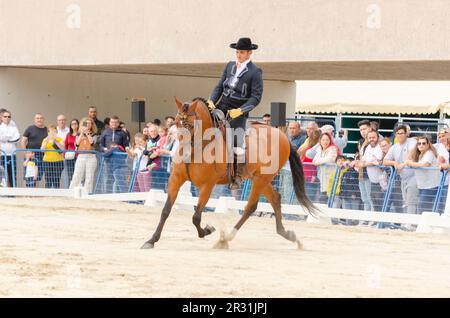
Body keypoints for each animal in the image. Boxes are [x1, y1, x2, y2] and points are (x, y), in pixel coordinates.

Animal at [142, 97, 316, 248]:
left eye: (191, 125)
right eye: (177, 123)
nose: (181, 153)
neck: (200, 146)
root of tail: (284, 136)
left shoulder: (207, 186)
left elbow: (196, 216)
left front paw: (207, 230)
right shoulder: (175, 179)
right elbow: (166, 211)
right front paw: (151, 240)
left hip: (262, 179)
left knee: (250, 207)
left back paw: (226, 238)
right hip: (260, 179)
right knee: (275, 199)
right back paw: (288, 235)